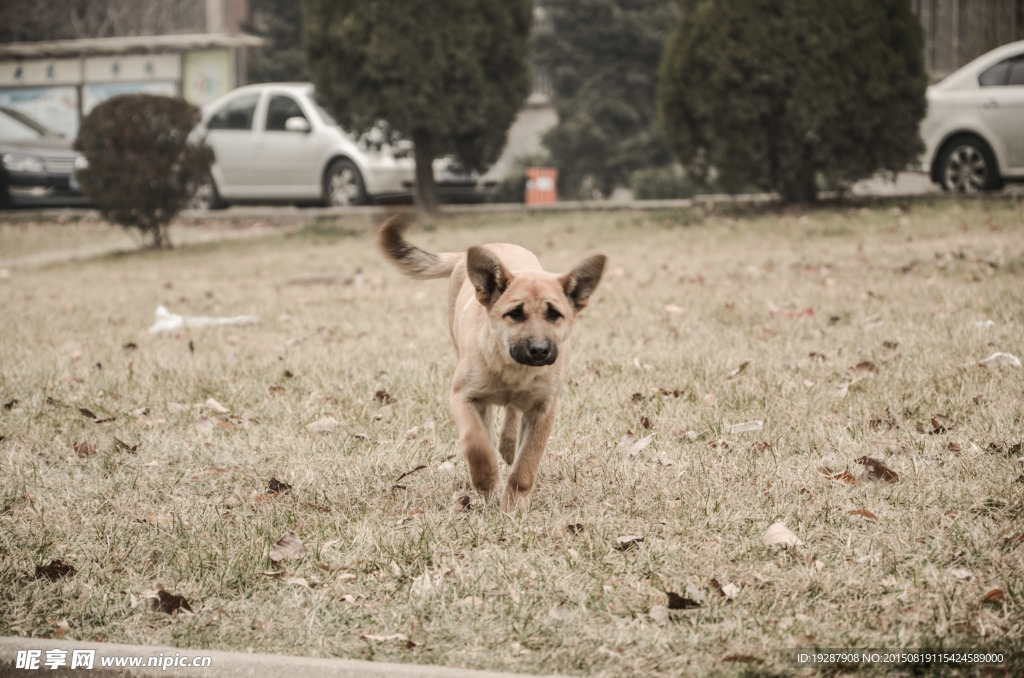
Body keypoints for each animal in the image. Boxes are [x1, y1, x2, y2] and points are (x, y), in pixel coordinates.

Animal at [382, 216, 606, 510]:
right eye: (515, 314)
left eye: (554, 314)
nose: (539, 351)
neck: (512, 370)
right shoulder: (464, 396)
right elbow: (475, 442)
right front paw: (487, 481)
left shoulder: (544, 409)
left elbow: (525, 466)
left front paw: (513, 507)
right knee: (487, 425)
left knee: (512, 416)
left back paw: (508, 445)